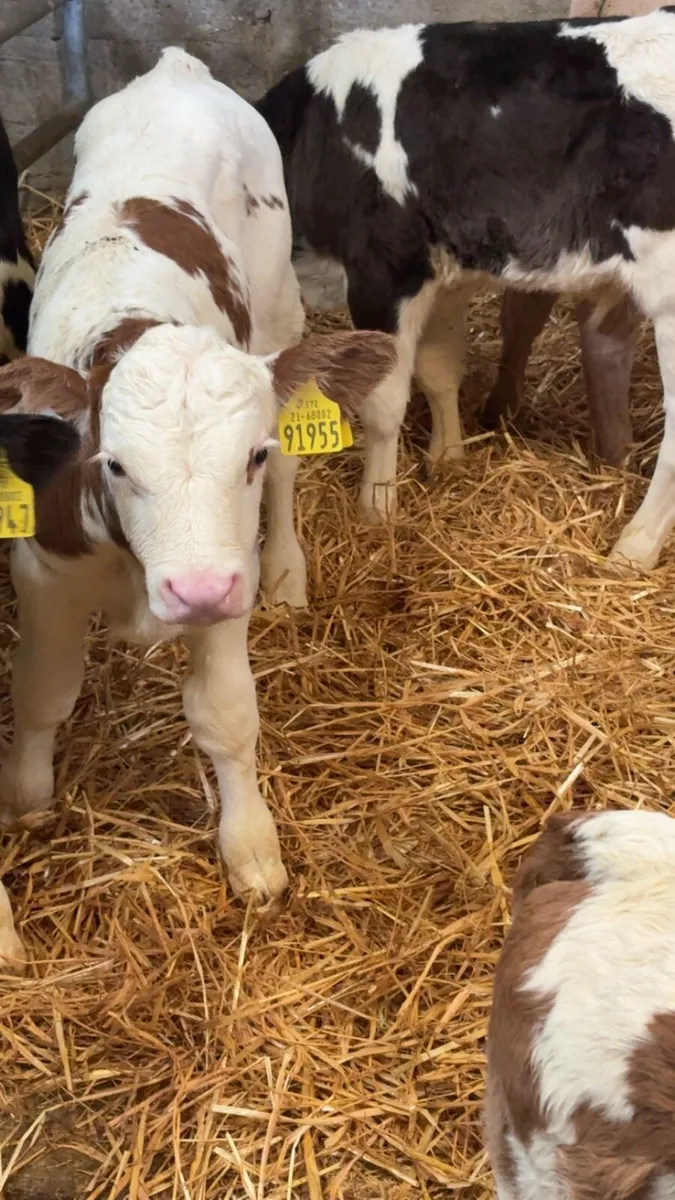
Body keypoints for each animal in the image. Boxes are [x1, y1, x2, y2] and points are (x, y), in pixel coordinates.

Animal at [0, 47, 395, 952]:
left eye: (245, 456)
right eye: (112, 464)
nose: (198, 588)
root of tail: (173, 70)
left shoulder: (224, 574)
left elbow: (224, 715)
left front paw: (249, 846)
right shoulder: (42, 574)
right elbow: (42, 693)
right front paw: (27, 796)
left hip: (280, 300)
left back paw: (287, 571)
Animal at [257, 8, 675, 569]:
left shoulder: (384, 270)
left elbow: (385, 402)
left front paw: (378, 508)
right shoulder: (448, 272)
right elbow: (439, 371)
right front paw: (448, 457)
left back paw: (633, 549)